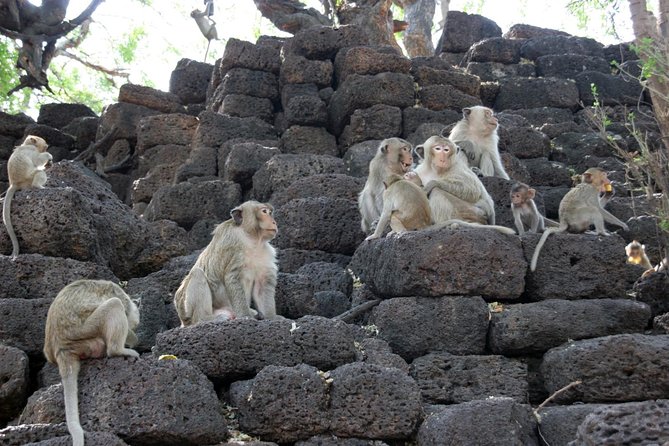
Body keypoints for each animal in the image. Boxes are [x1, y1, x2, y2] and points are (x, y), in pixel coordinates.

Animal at [43, 279, 140, 446]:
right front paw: (134, 339)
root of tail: (61, 348)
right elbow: (121, 306)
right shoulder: (120, 294)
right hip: (88, 332)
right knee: (114, 304)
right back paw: (118, 350)